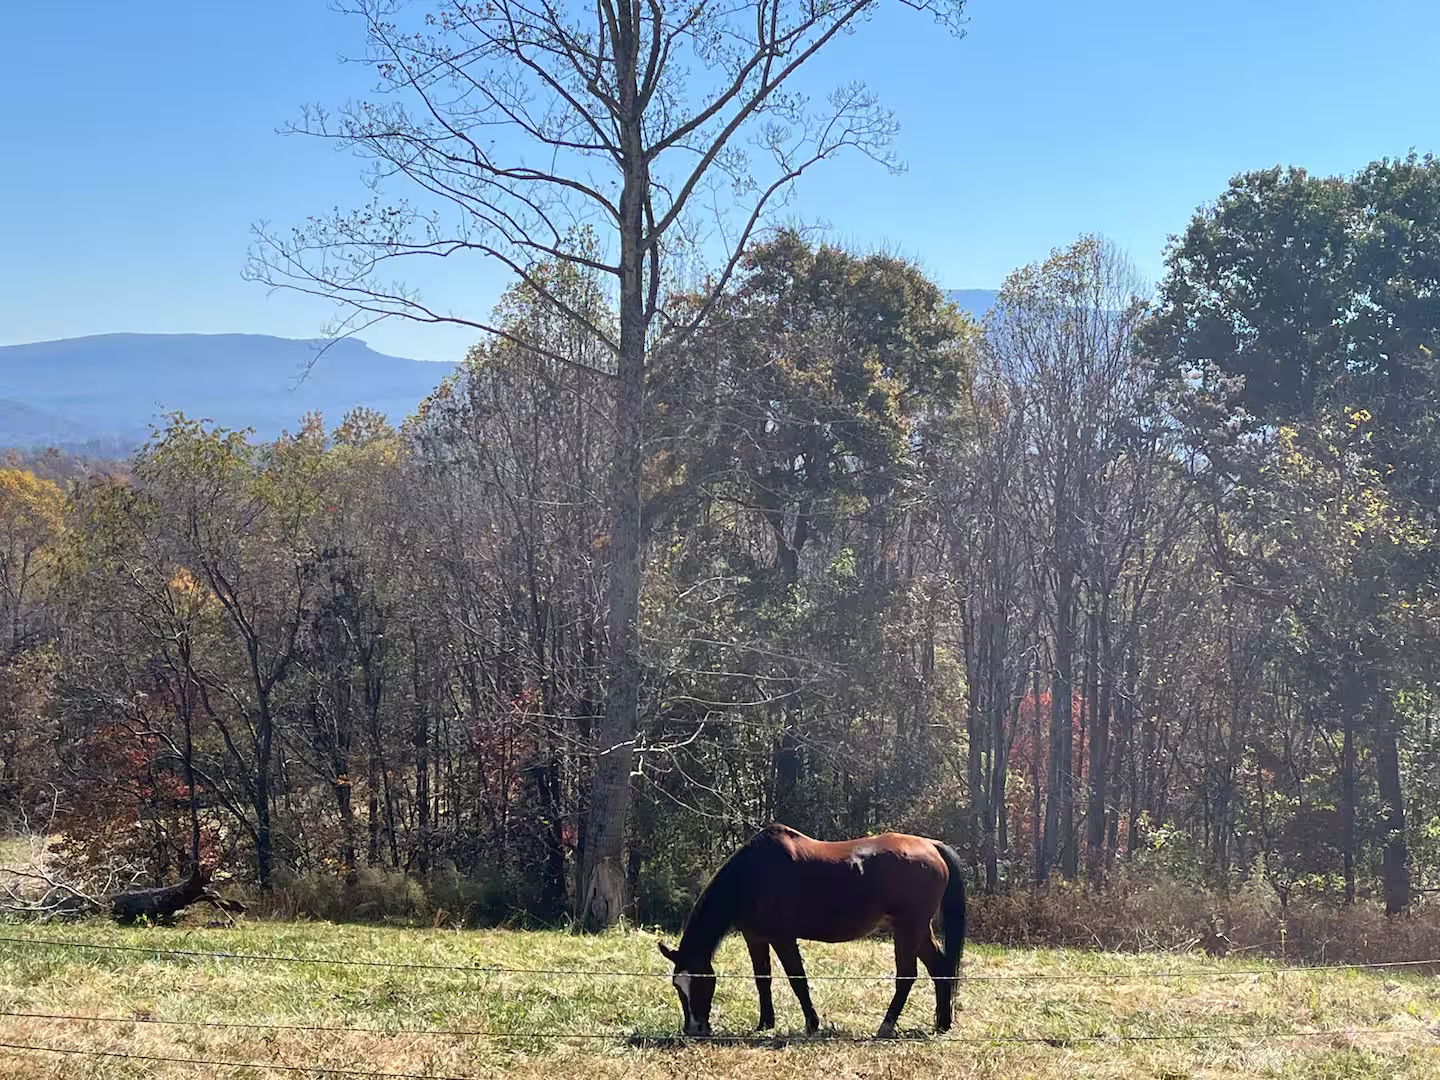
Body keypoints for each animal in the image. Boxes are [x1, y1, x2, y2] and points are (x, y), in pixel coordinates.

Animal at [657, 823, 966, 1039]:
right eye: (677, 986)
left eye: (699, 982)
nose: (694, 1029)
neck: (752, 876)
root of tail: (932, 846)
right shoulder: (754, 937)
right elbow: (762, 979)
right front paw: (765, 1023)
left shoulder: (782, 938)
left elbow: (797, 979)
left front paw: (811, 1023)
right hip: (917, 929)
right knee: (939, 968)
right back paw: (942, 1023)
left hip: (907, 928)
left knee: (907, 976)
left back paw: (886, 1026)